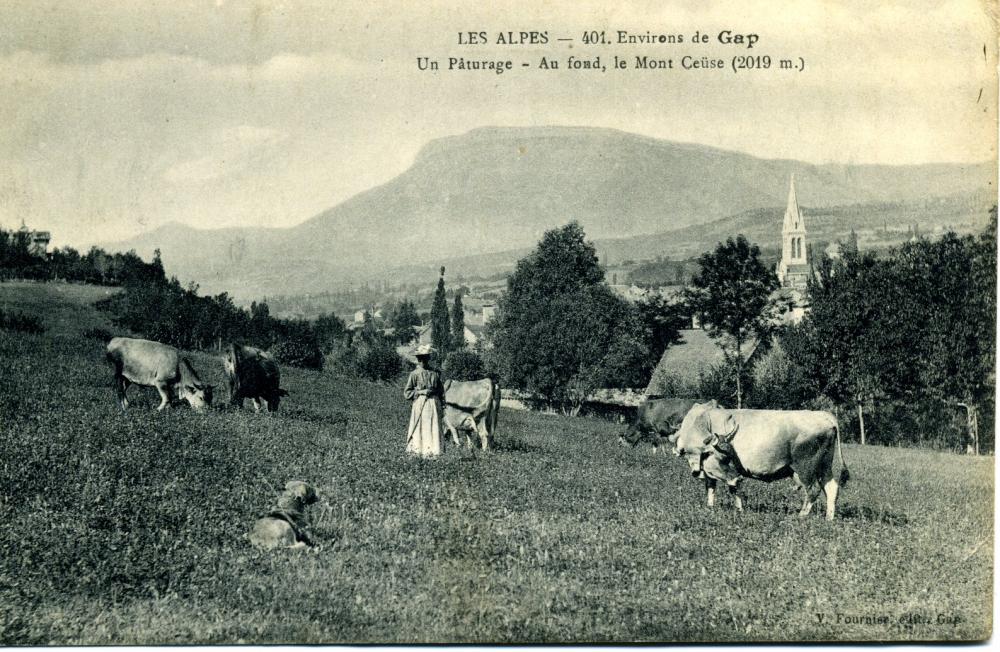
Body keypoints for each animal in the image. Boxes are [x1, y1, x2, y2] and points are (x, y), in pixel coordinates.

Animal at [672, 400, 852, 524]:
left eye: (724, 456)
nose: (739, 477)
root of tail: (822, 414)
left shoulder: (713, 465)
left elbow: (729, 484)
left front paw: (738, 508)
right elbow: (713, 487)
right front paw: (713, 508)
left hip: (805, 467)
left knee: (813, 490)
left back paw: (801, 516)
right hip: (824, 465)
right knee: (831, 488)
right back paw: (829, 518)